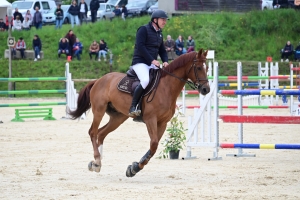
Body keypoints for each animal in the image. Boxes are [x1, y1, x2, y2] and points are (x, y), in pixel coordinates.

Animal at [68, 49, 209, 177]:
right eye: (198, 68)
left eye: (207, 68)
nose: (206, 89)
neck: (166, 88)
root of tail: (98, 80)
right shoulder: (150, 119)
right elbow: (154, 144)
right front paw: (135, 168)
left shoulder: (162, 123)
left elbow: (153, 147)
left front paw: (134, 167)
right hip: (99, 110)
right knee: (93, 132)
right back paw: (97, 160)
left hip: (118, 117)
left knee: (101, 133)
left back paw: (97, 163)